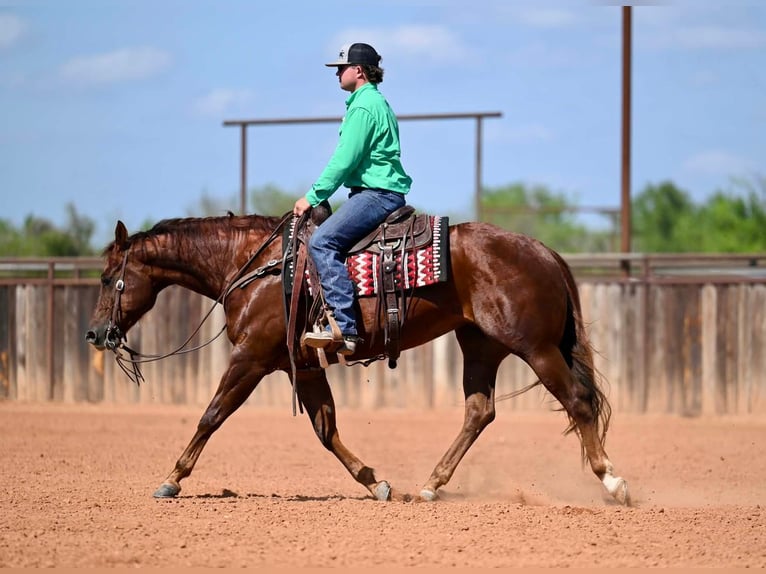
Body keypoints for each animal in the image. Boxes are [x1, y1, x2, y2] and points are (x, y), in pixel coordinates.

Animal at [85, 213, 630, 505]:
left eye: (110, 277)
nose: (94, 333)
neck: (258, 269)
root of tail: (543, 251)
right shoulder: (302, 367)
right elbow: (325, 430)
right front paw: (376, 483)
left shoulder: (251, 358)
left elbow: (211, 415)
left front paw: (171, 479)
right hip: (479, 344)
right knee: (480, 411)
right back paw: (430, 486)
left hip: (534, 348)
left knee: (578, 403)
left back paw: (614, 481)